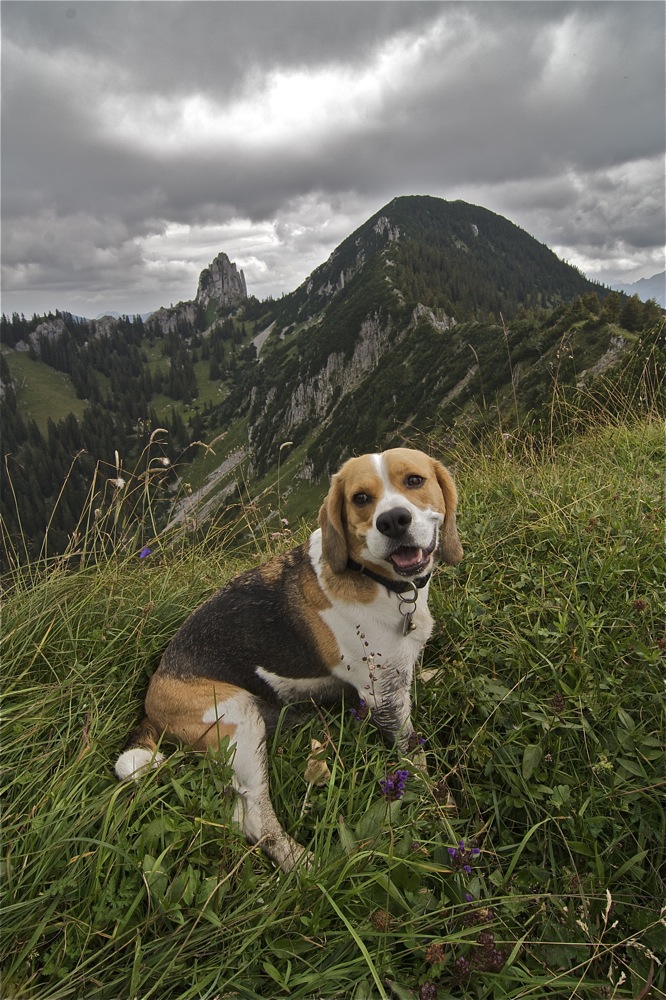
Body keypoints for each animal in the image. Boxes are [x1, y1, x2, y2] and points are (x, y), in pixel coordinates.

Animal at [115, 450, 462, 872]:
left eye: (414, 480)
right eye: (360, 498)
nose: (393, 520)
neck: (377, 580)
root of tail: (155, 691)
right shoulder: (385, 697)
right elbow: (416, 758)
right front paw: (442, 809)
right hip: (238, 723)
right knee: (253, 819)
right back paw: (303, 864)